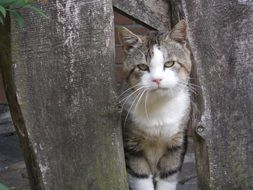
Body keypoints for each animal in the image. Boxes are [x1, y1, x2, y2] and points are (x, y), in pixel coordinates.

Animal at [118, 20, 192, 190]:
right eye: (142, 67)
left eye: (170, 63)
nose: (157, 79)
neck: (159, 106)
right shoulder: (131, 144)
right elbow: (140, 176)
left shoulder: (177, 142)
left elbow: (169, 174)